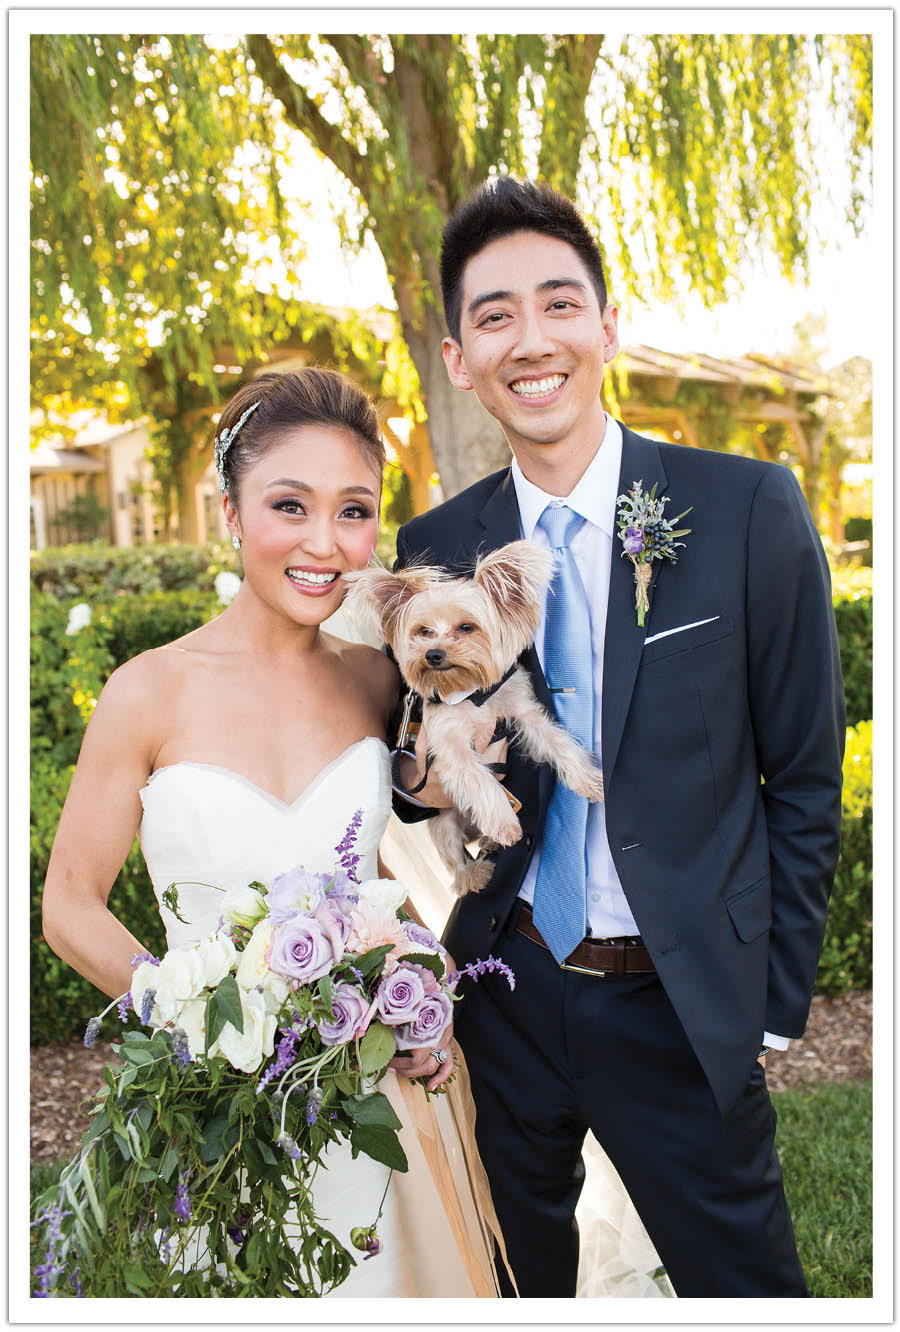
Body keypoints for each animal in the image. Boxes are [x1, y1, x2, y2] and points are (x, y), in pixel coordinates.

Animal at [343, 538, 604, 895]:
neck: (471, 693)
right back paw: (475, 871)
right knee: (457, 866)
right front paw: (505, 823)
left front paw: (588, 779)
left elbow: (558, 743)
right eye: (423, 631)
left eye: (467, 627)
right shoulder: (449, 746)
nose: (433, 654)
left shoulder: (525, 713)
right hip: (444, 826)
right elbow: (481, 779)